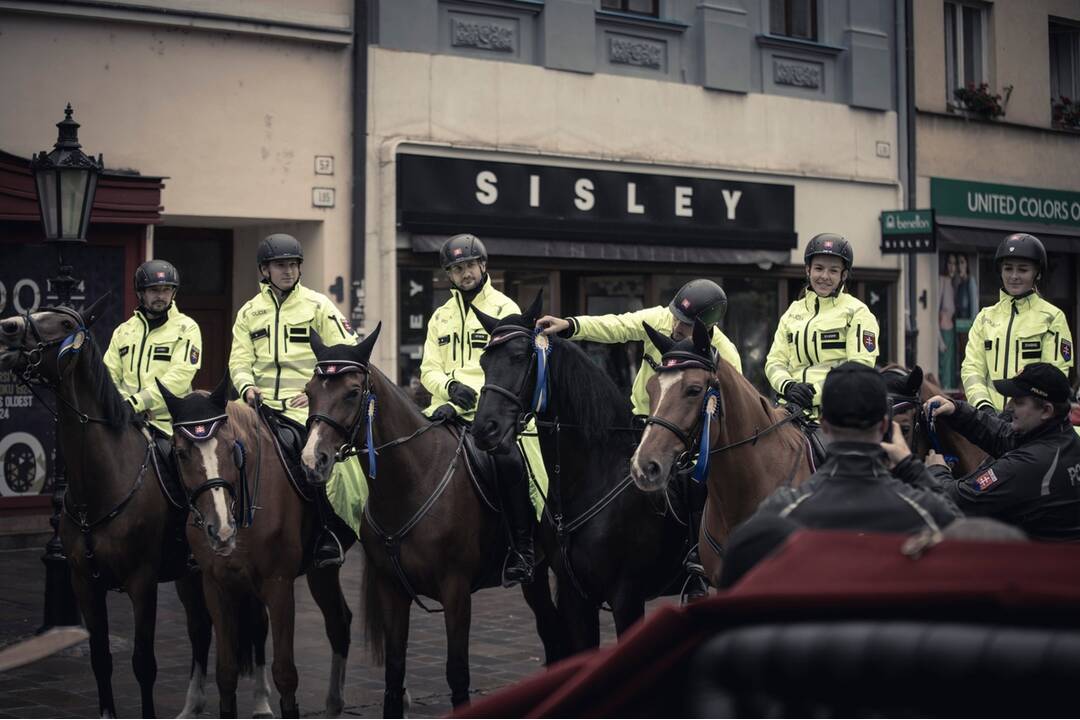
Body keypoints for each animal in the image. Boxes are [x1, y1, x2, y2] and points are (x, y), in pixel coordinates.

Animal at [0, 302, 213, 716]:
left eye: (64, 323)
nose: (8, 326)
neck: (101, 481)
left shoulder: (142, 582)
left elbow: (144, 663)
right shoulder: (84, 581)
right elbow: (101, 659)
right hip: (187, 573)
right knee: (200, 629)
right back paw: (193, 705)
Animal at [159, 379, 354, 716]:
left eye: (231, 448)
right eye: (181, 454)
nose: (221, 530)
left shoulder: (279, 585)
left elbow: (286, 674)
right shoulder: (216, 585)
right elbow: (226, 672)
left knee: (340, 622)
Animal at [298, 325, 561, 716]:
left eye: (352, 392)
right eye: (309, 391)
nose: (312, 460)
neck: (413, 479)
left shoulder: (456, 591)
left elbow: (458, 673)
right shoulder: (391, 588)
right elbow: (394, 671)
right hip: (538, 575)